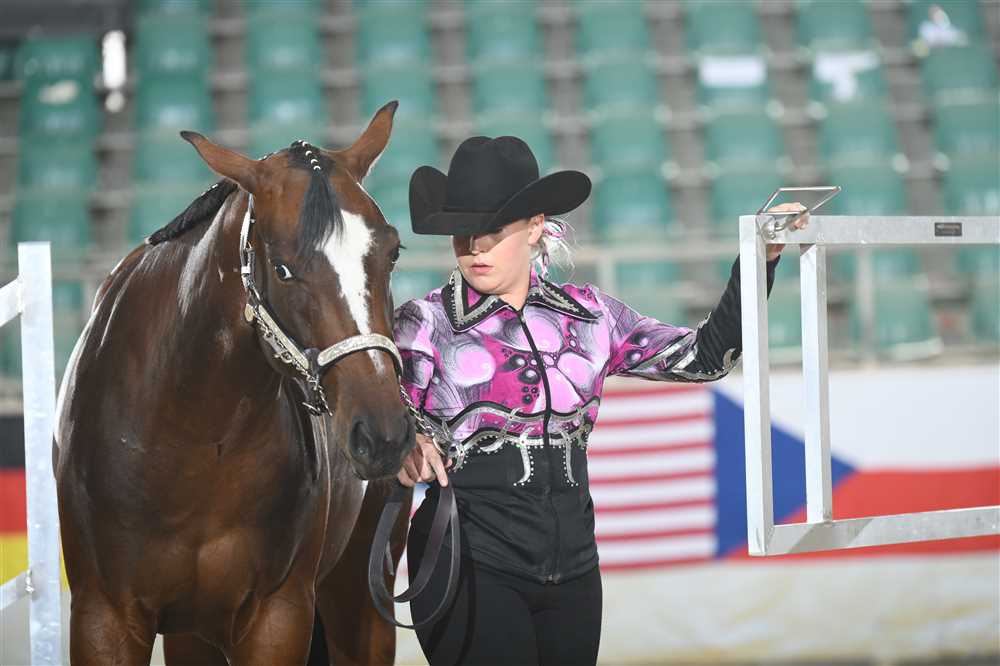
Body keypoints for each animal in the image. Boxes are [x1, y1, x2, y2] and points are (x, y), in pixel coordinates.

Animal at [53, 101, 415, 665]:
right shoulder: (103, 618)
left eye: (392, 253)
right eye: (283, 269)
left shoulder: (277, 617)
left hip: (360, 599)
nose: (382, 435)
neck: (194, 439)